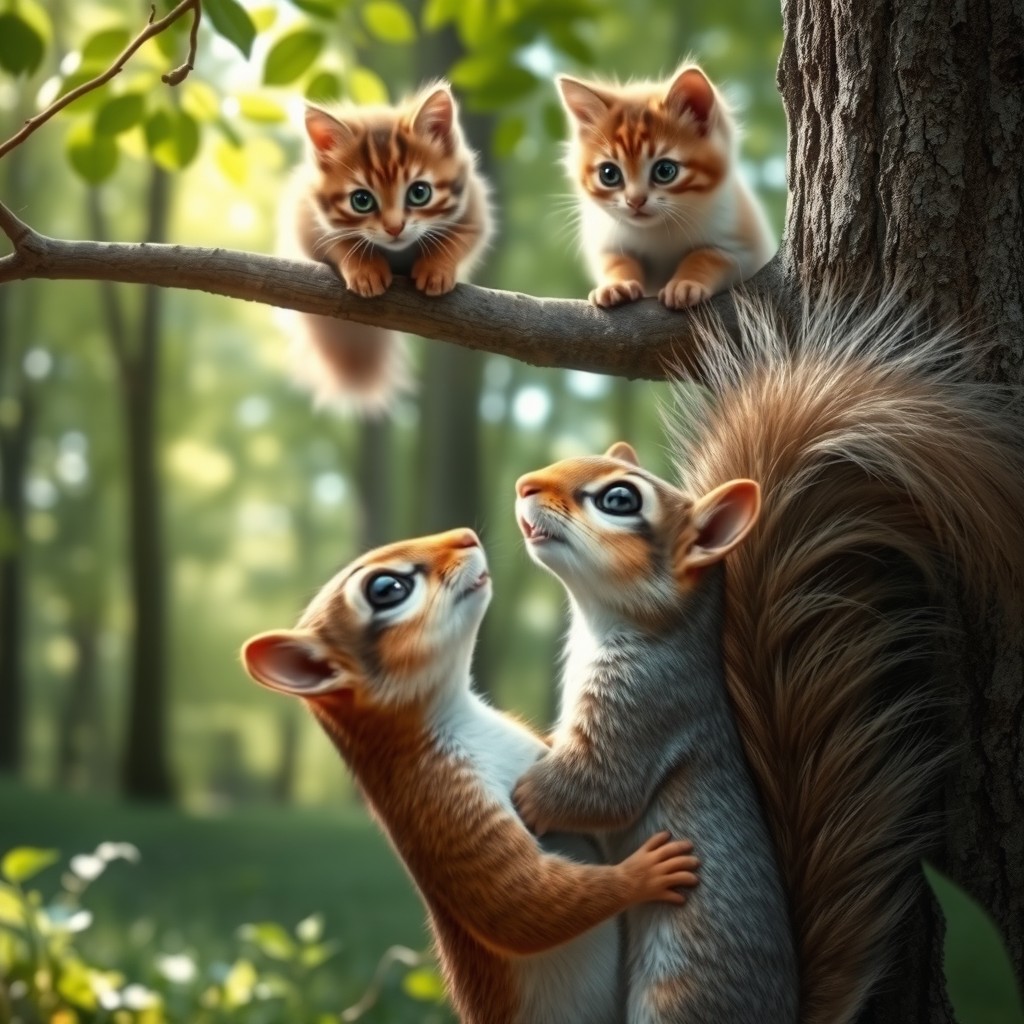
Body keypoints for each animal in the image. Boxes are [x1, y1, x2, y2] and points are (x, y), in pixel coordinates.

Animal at [241, 527, 700, 1024]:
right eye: (385, 588)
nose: (464, 534)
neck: (464, 718)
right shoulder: (442, 807)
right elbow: (522, 903)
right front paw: (646, 872)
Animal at [512, 290, 1024, 1024]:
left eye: (619, 499)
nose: (525, 483)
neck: (605, 624)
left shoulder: (649, 705)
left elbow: (601, 787)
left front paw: (530, 792)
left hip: (683, 990)